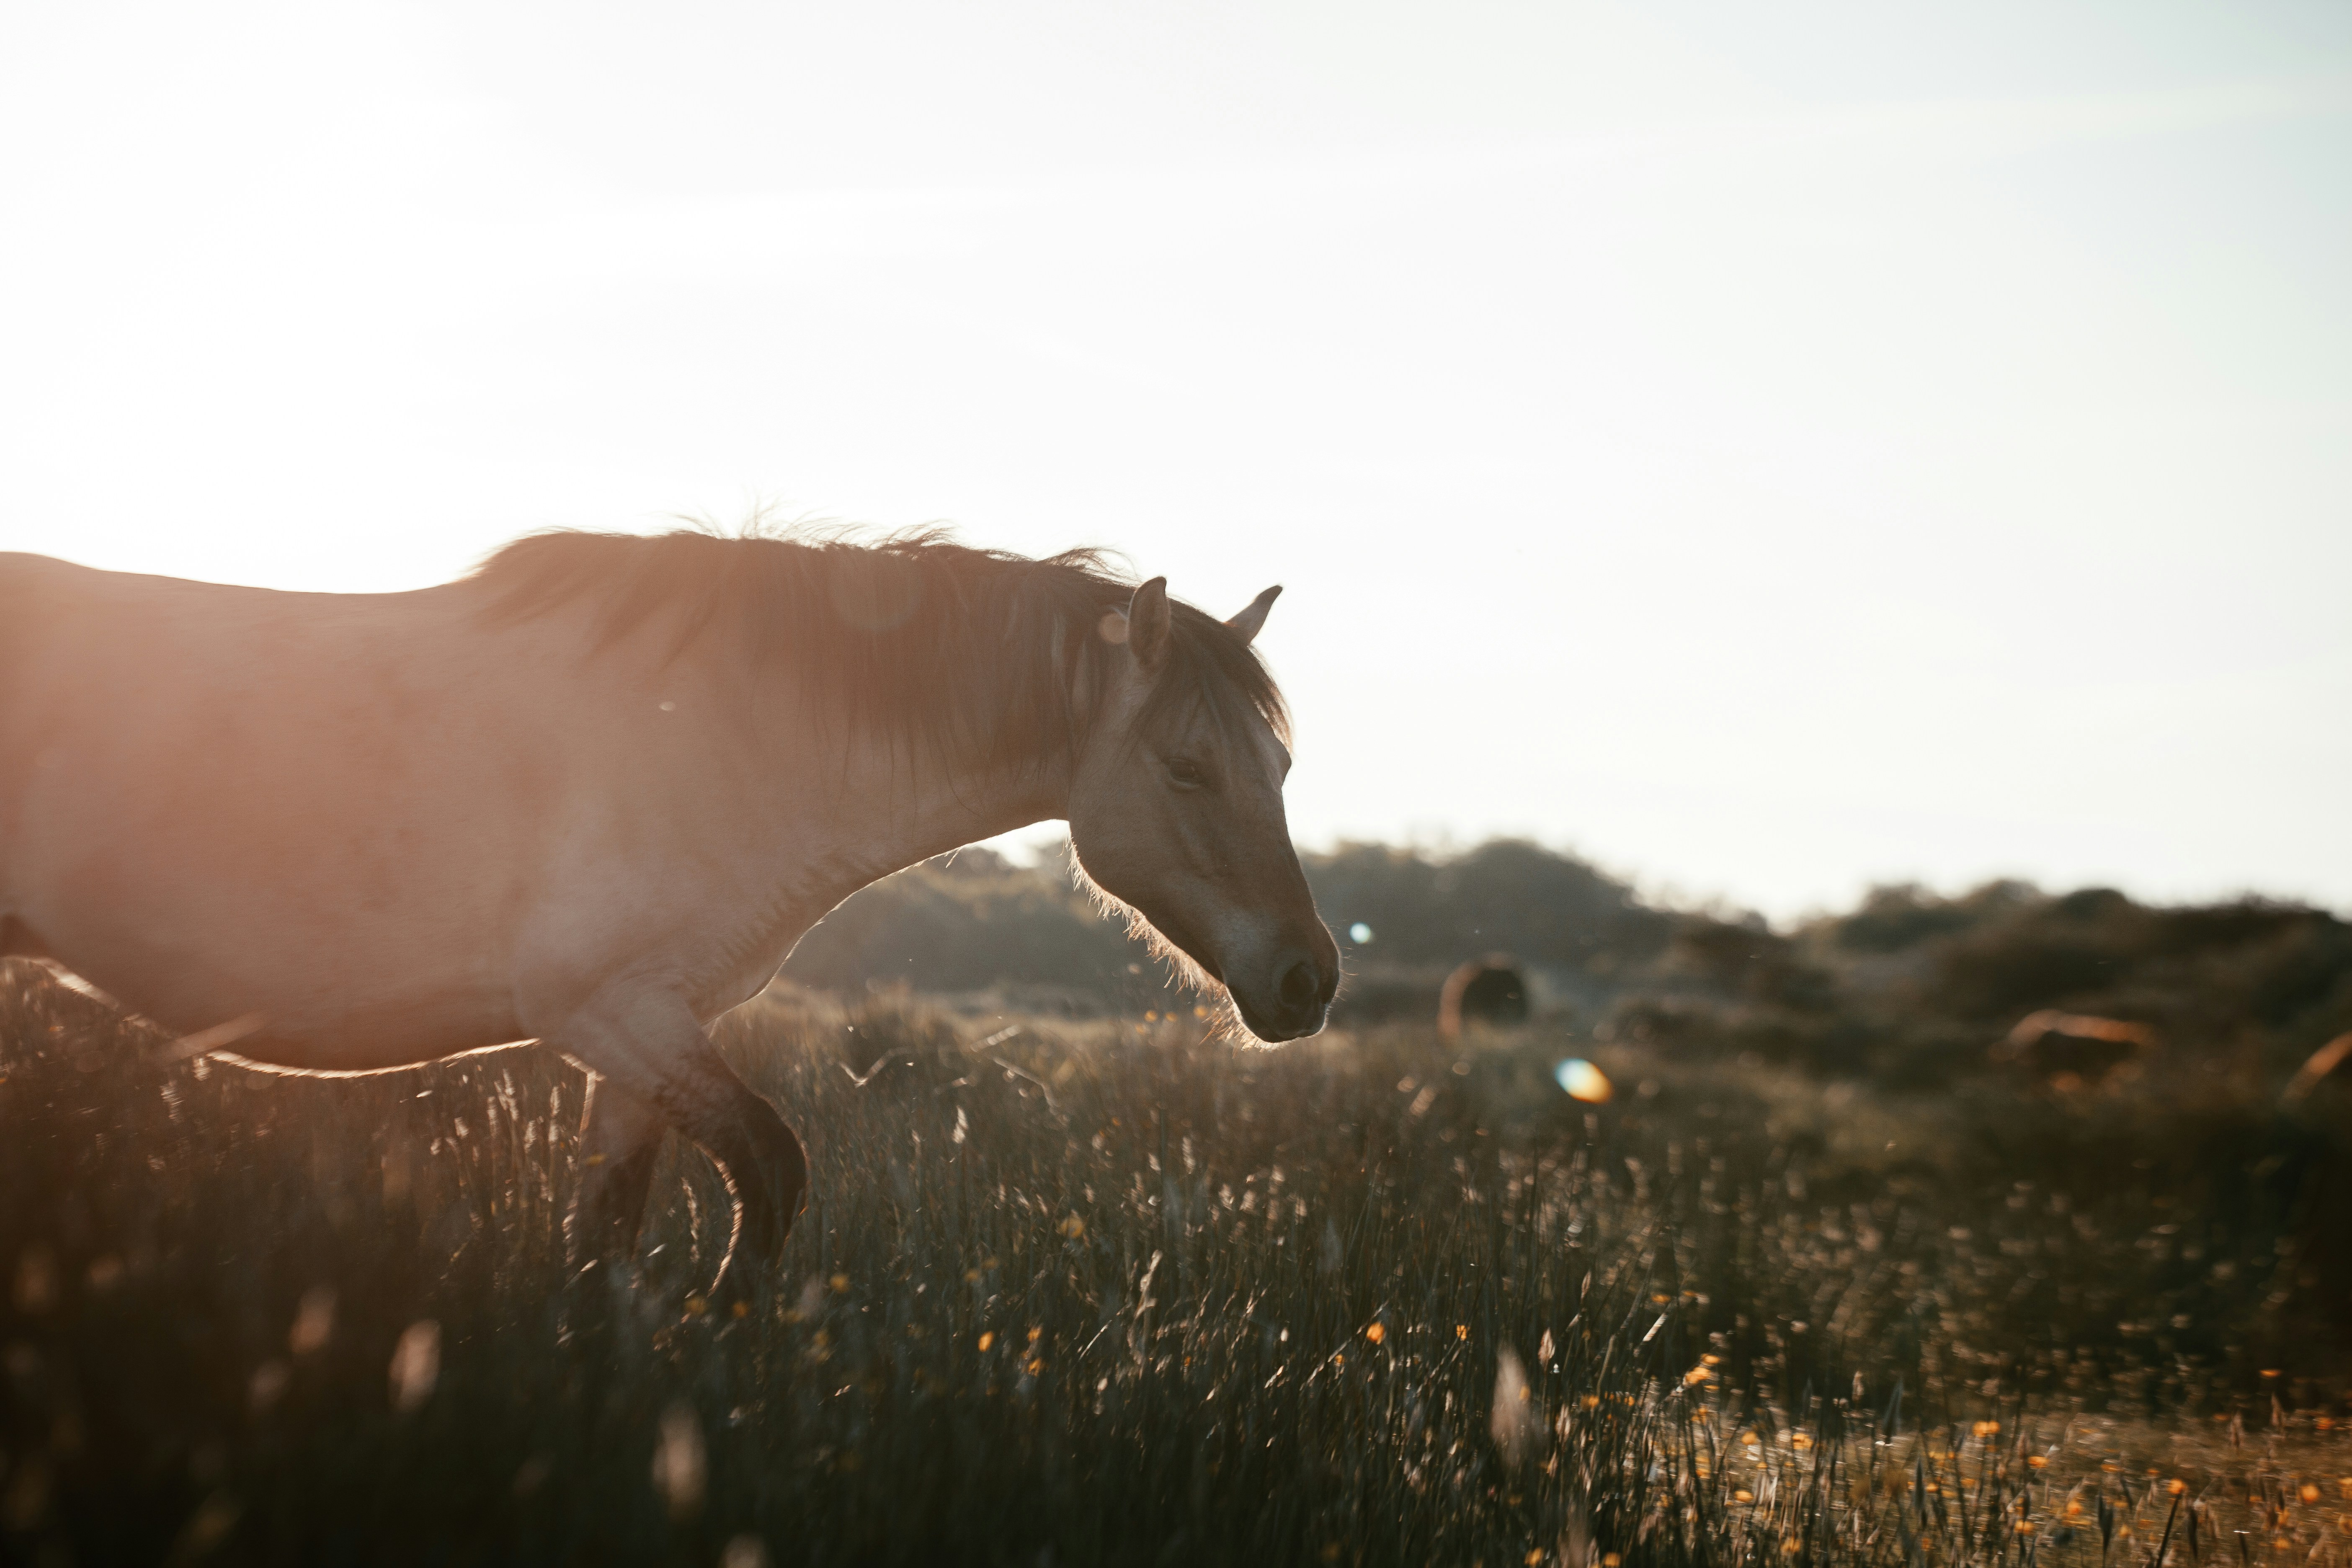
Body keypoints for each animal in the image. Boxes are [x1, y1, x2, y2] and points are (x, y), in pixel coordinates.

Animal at [0, 528, 1340, 1298]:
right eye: (1187, 770)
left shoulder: (641, 1034)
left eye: (1283, 769)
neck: (721, 730)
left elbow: (606, 1234)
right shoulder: (608, 1009)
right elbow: (773, 1168)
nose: (1308, 979)